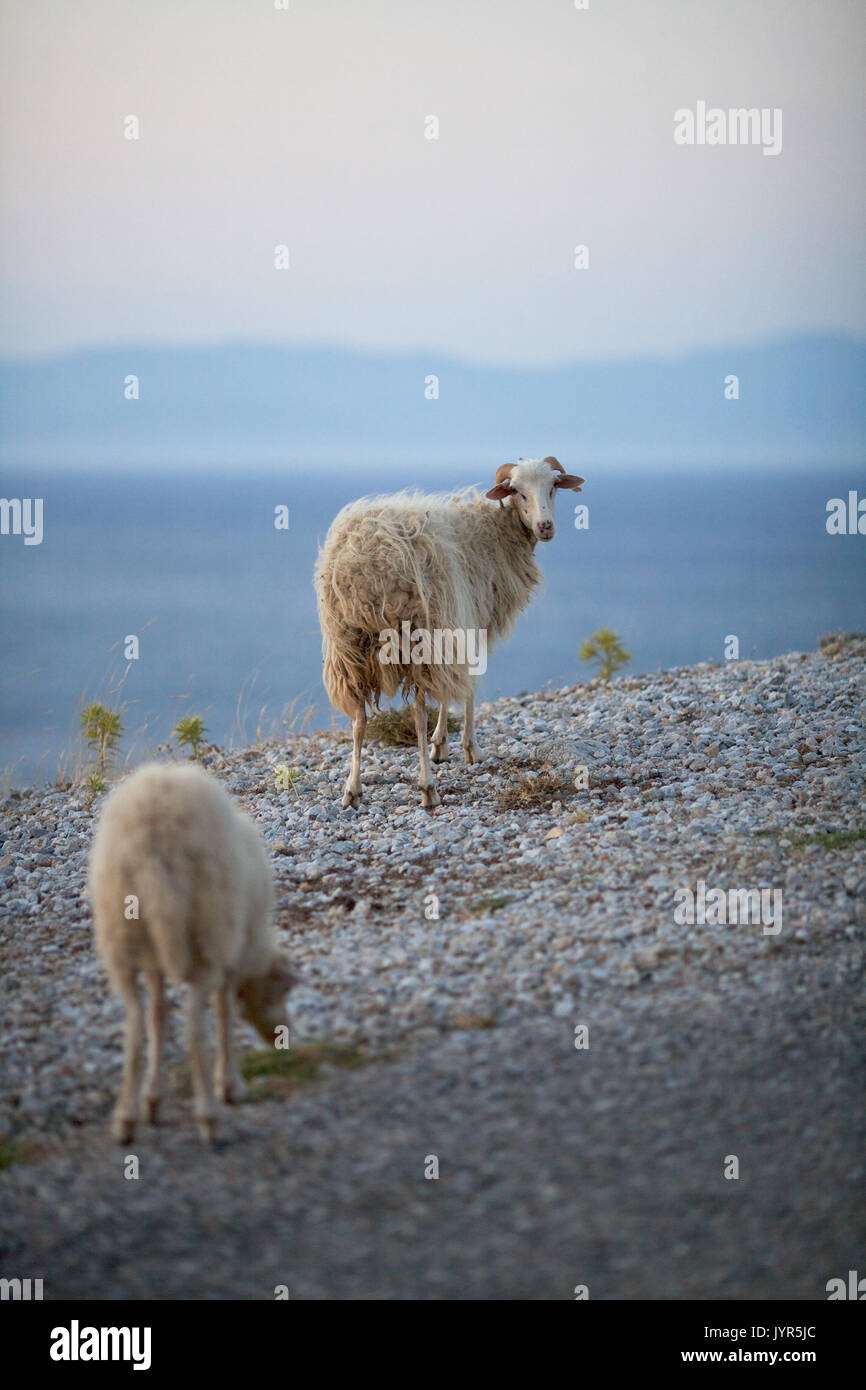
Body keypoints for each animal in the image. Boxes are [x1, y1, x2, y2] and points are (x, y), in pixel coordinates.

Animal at [88, 761, 296, 1139]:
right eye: (283, 990)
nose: (284, 1035)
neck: (254, 945)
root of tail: (152, 841)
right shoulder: (228, 957)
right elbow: (224, 1014)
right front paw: (230, 1085)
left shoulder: (154, 962)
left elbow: (157, 1016)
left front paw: (154, 1099)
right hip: (208, 931)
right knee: (194, 1030)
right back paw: (209, 1119)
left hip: (120, 935)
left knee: (135, 1025)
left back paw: (126, 1119)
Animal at [315, 455, 586, 811]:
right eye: (516, 490)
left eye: (554, 485)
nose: (545, 526)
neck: (495, 530)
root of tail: (369, 561)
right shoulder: (468, 622)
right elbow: (469, 685)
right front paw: (467, 747)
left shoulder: (455, 626)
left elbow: (448, 691)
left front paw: (441, 745)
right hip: (419, 634)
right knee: (417, 713)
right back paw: (427, 788)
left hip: (349, 647)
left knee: (359, 717)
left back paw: (352, 790)